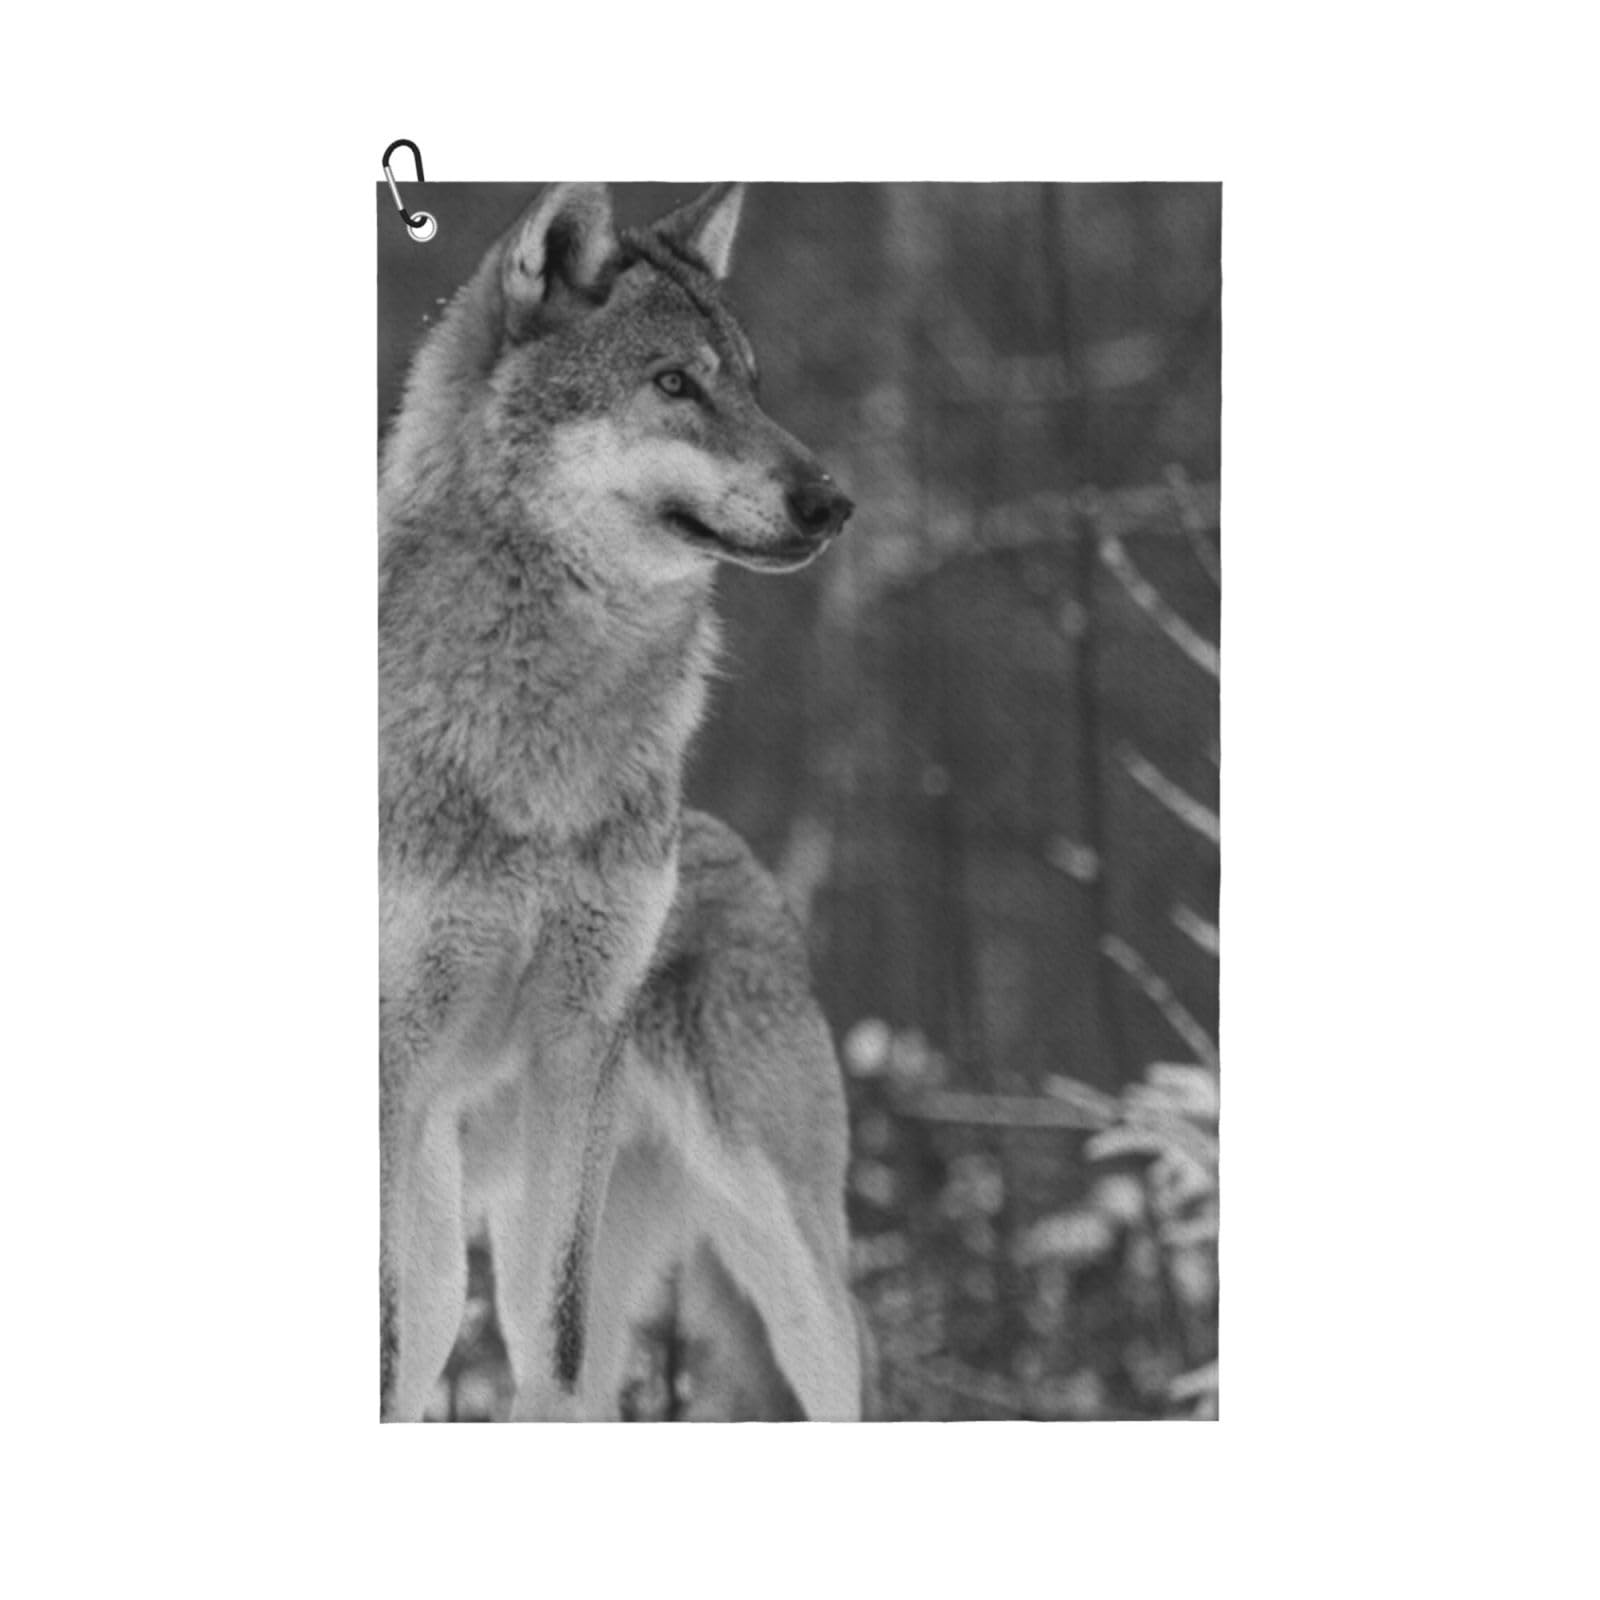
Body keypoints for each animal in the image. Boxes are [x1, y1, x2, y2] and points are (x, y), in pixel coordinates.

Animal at [380, 182, 863, 1420]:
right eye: (673, 383)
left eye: (749, 383)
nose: (833, 500)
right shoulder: (394, 1062)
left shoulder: (573, 1046)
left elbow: (551, 1344)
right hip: (449, 1236)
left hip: (787, 1271)